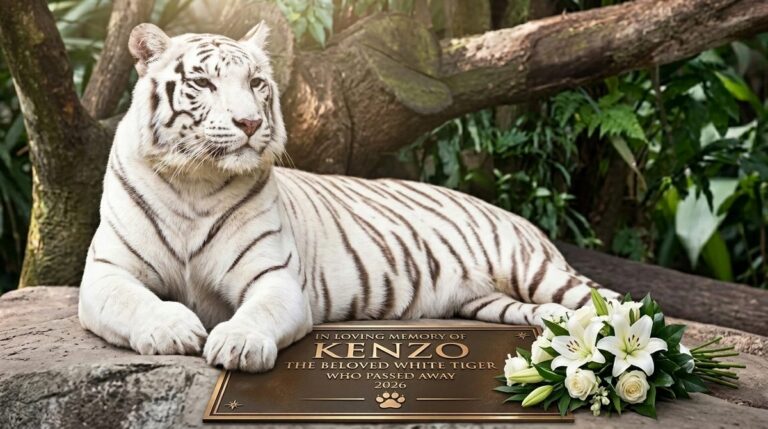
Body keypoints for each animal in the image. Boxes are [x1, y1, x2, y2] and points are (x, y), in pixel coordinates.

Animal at [78, 21, 621, 373]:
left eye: (256, 83)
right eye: (203, 82)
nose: (250, 122)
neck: (196, 181)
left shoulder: (275, 278)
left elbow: (257, 312)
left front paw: (237, 341)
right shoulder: (107, 272)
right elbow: (133, 300)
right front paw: (174, 330)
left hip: (532, 269)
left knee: (616, 303)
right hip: (492, 302)